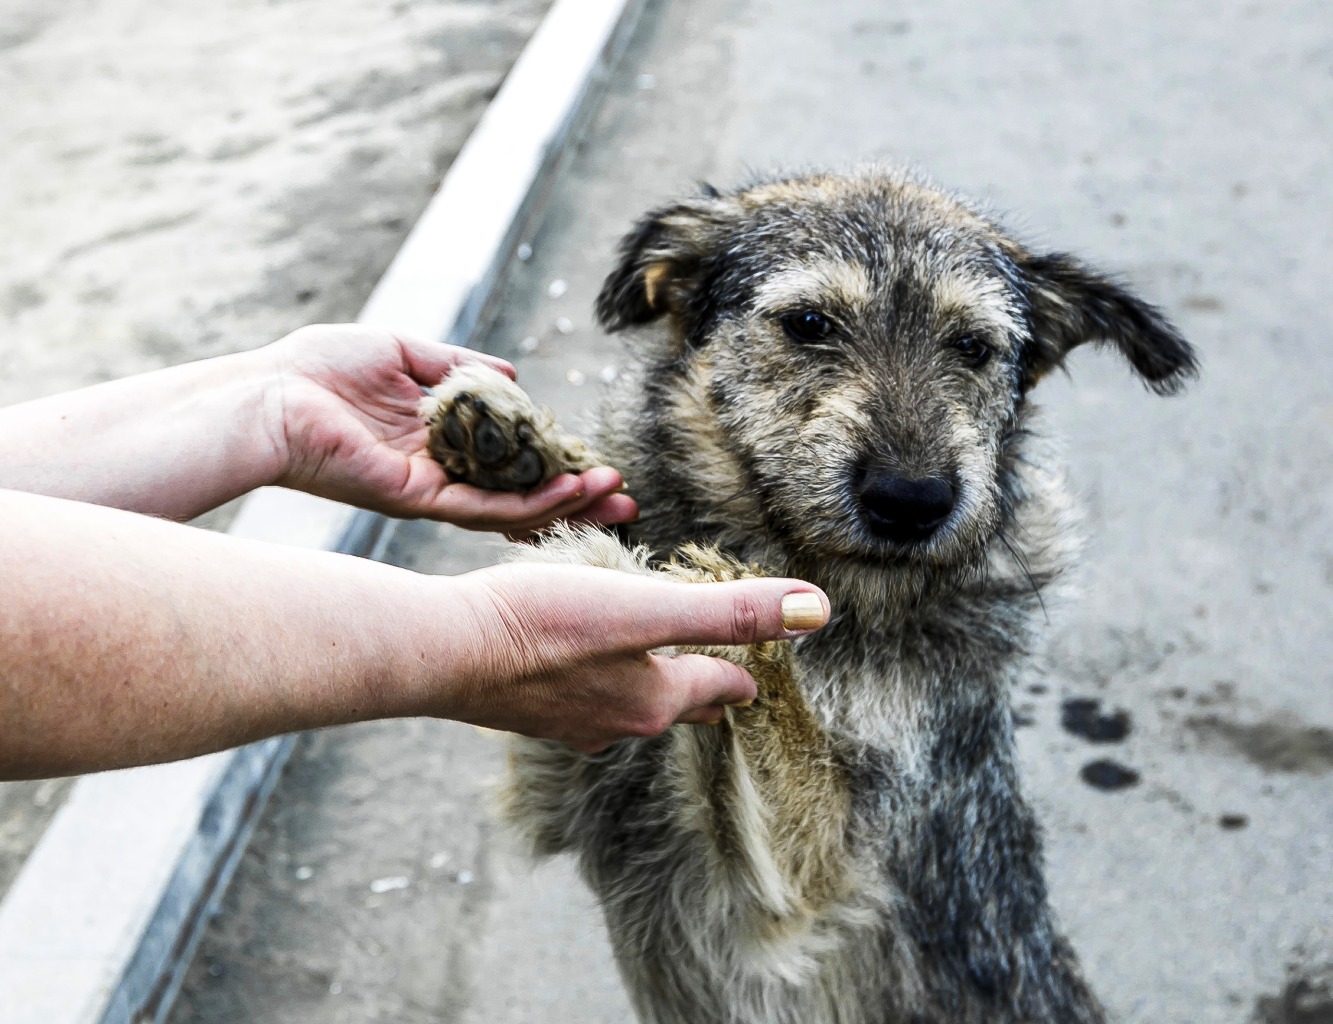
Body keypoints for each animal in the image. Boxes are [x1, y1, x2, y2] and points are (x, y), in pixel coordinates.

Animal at [421, 170, 1194, 1024]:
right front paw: (526, 447)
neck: (841, 590)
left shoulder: (808, 888)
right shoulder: (564, 790)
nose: (911, 502)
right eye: (809, 324)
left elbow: (777, 710)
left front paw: (698, 588)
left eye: (972, 346)